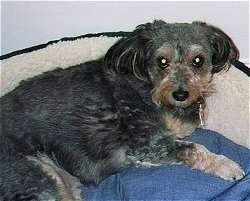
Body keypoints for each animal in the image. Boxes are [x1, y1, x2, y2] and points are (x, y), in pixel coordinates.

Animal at [0, 19, 245, 201]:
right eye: (162, 61)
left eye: (198, 60)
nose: (181, 94)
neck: (149, 87)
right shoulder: (146, 142)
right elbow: (194, 147)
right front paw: (228, 166)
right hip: (38, 178)